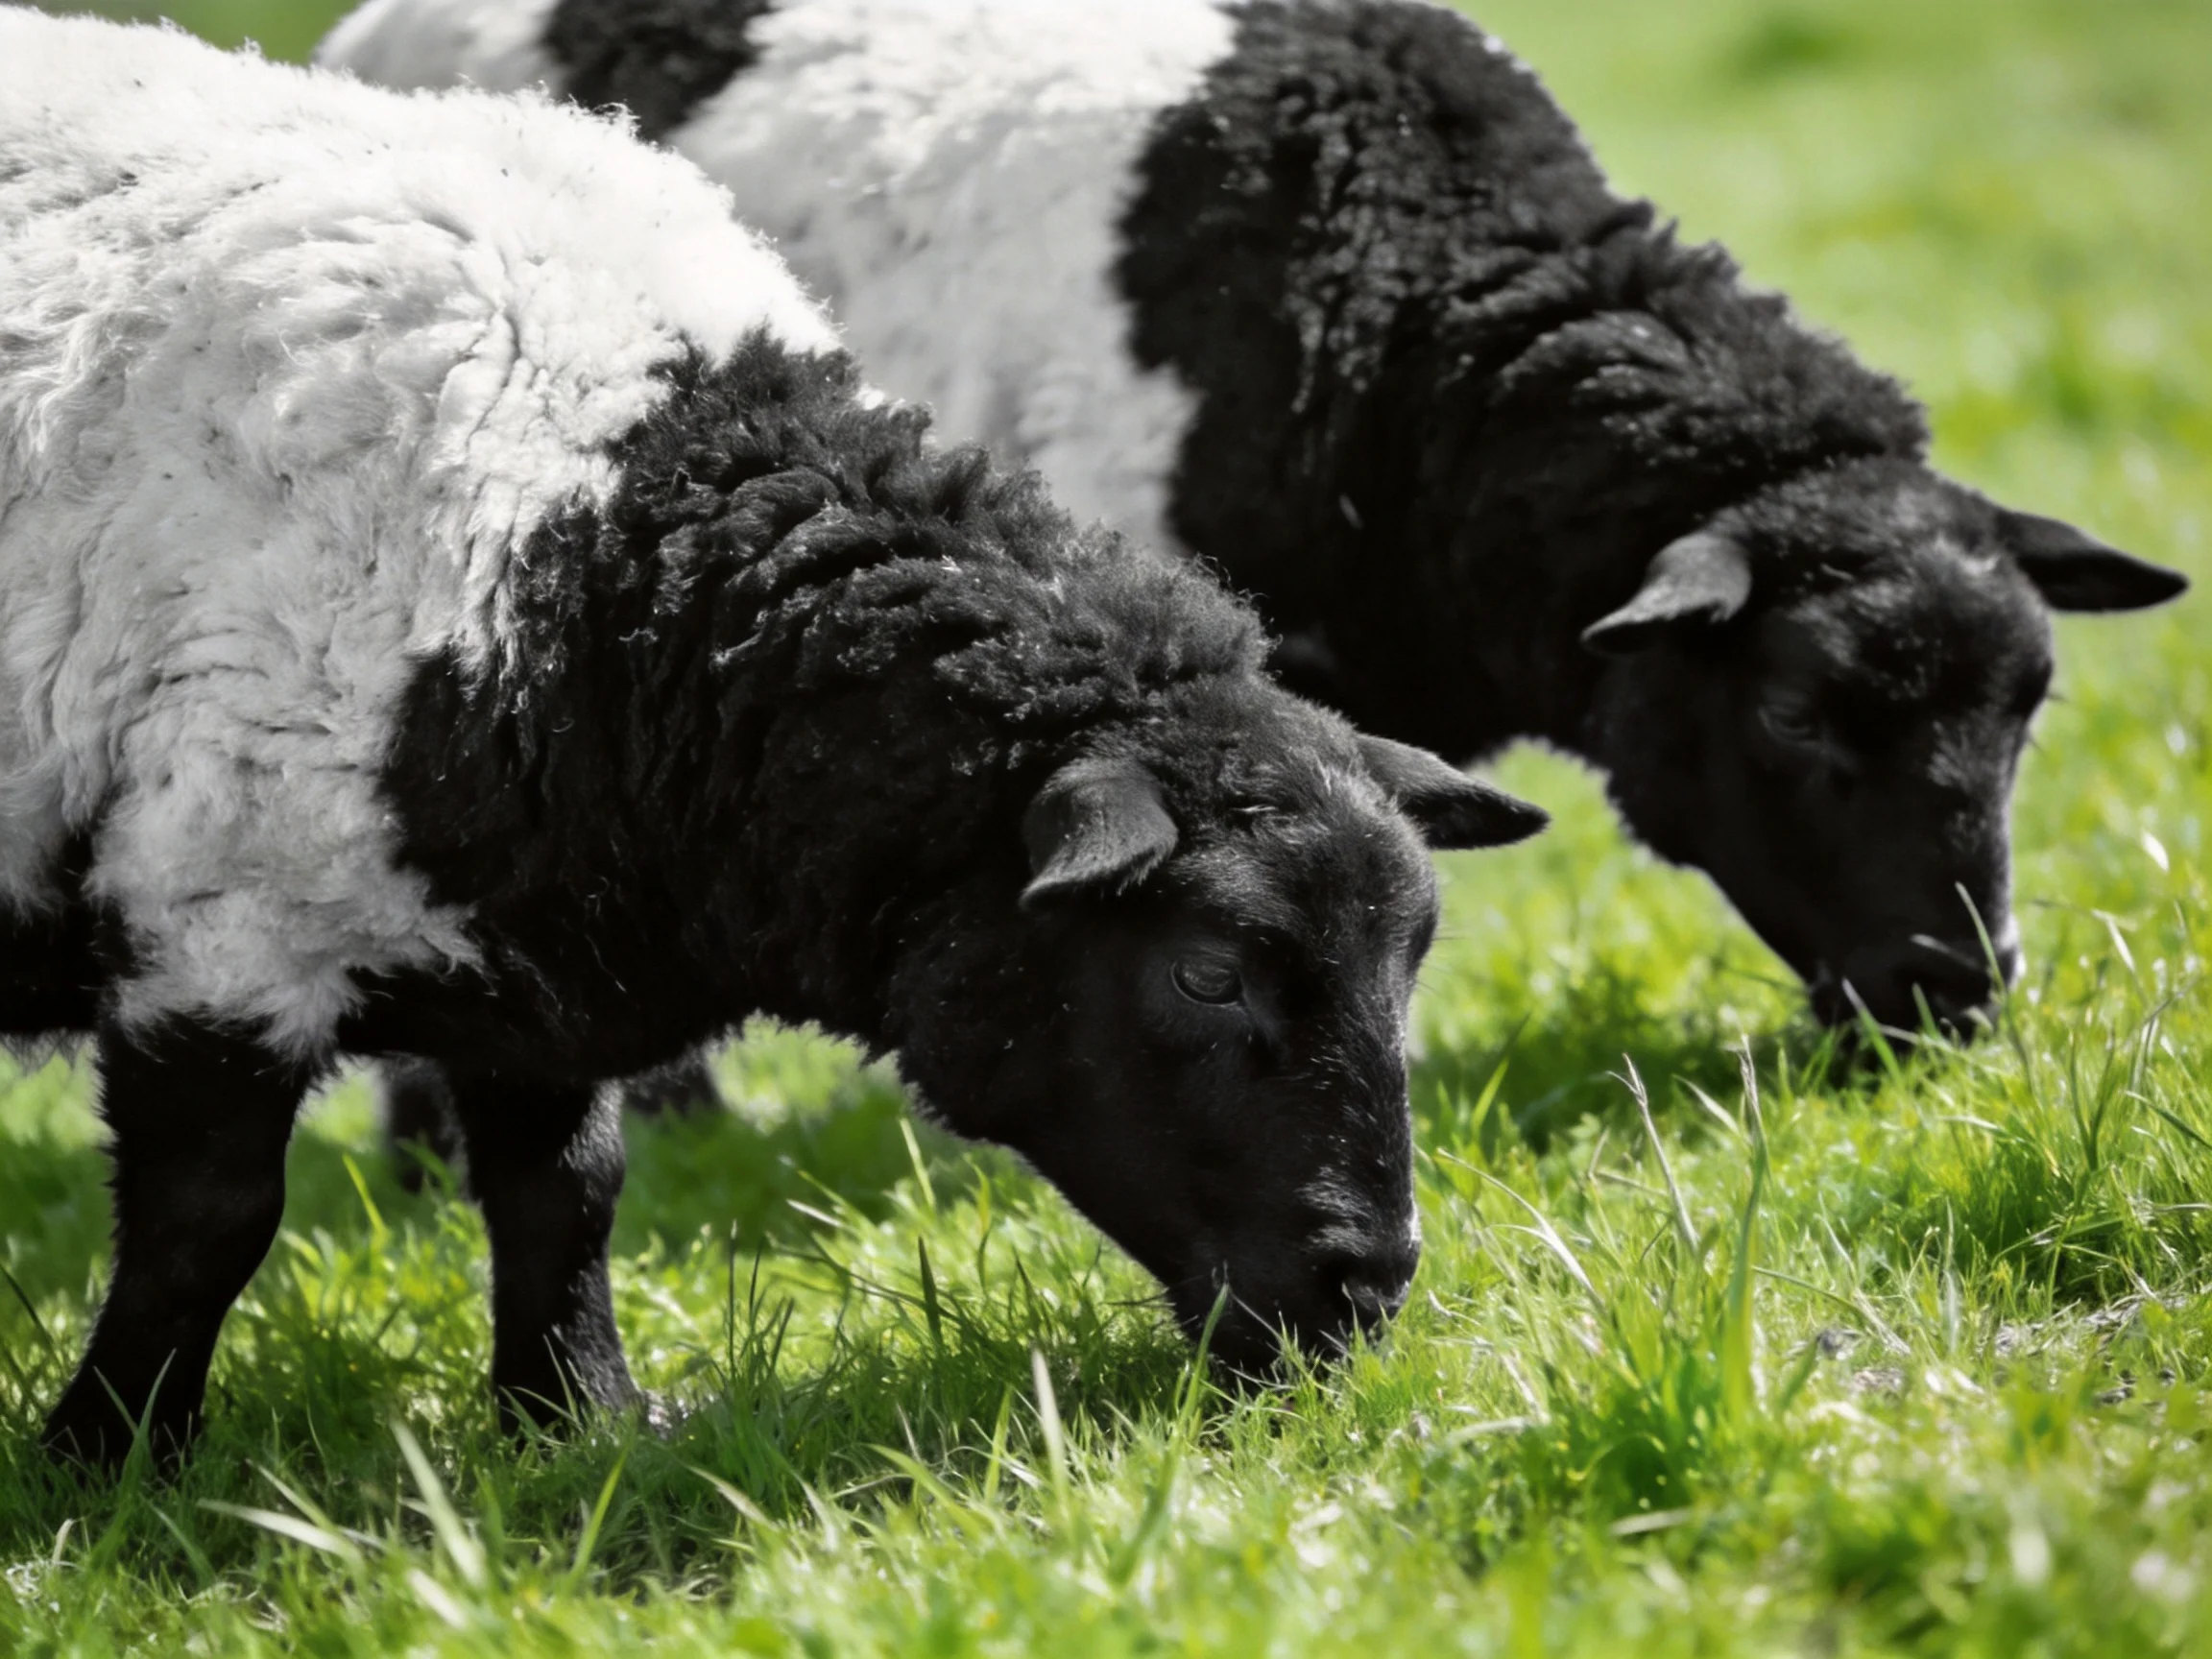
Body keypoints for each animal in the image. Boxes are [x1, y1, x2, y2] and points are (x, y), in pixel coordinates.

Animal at [0, 11, 1548, 1465]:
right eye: (1208, 973)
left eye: (1411, 958)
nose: (1366, 1292)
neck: (608, 569)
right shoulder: (221, 917)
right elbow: (210, 1222)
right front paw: (112, 1458)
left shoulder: (536, 948)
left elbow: (565, 1195)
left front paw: (579, 1423)